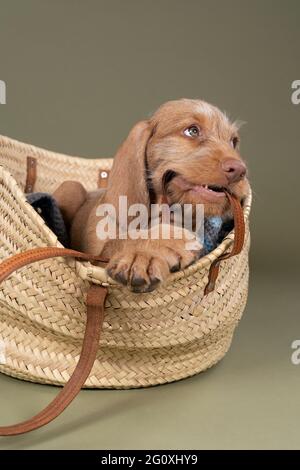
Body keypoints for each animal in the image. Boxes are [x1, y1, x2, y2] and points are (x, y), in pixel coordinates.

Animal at [52, 98, 250, 292]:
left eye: (233, 141)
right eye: (192, 131)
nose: (239, 171)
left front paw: (144, 255)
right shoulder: (93, 260)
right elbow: (115, 242)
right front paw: (145, 253)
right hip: (72, 186)